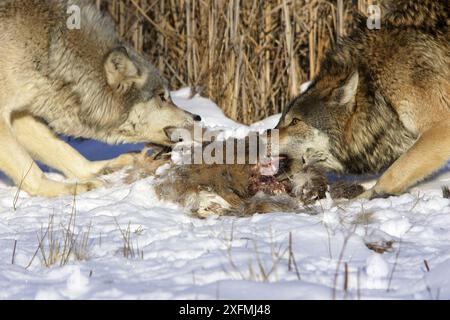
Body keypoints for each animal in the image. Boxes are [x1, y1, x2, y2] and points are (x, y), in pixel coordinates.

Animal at [0, 0, 200, 196]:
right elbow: (32, 173)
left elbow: (67, 153)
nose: (197, 117)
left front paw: (99, 170)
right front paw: (73, 188)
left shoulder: (19, 115)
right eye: (161, 97)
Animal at [268, 0, 448, 199]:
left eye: (295, 121)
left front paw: (362, 198)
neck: (376, 85)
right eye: (282, 120)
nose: (261, 138)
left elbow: (393, 174)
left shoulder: (441, 126)